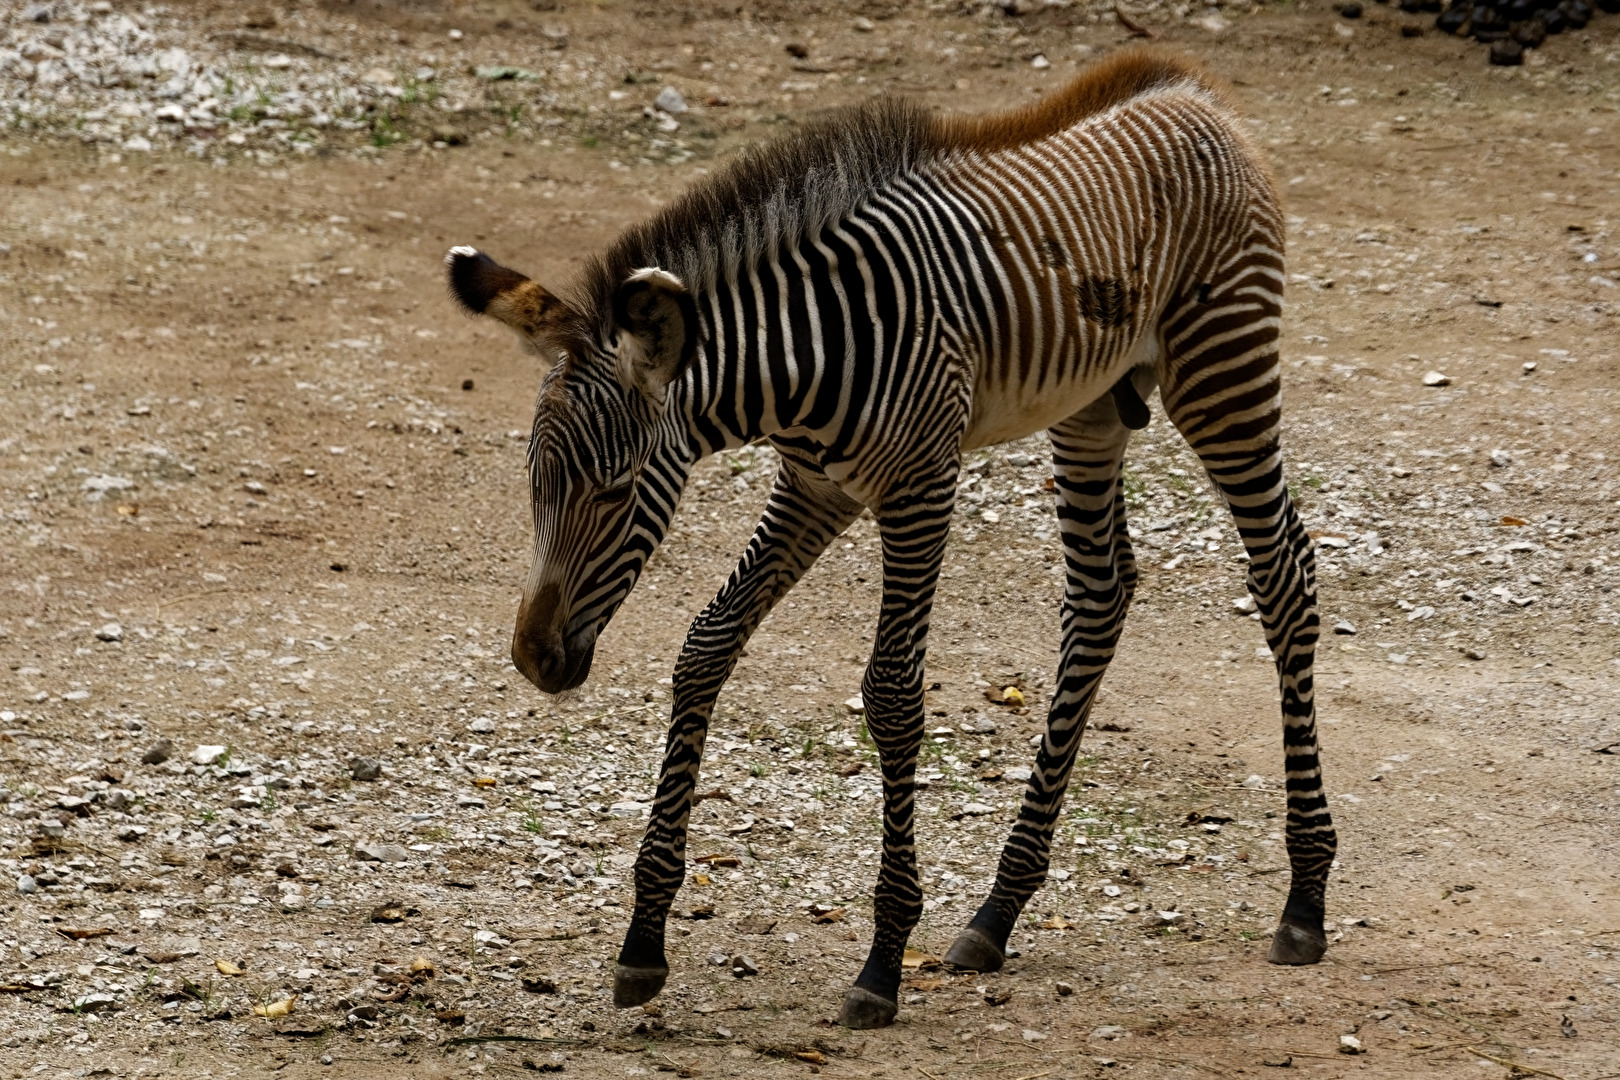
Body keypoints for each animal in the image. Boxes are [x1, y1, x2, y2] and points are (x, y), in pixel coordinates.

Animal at [446, 47, 1334, 1030]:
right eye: (533, 487)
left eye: (614, 491)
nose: (533, 659)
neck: (799, 360)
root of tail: (1192, 90)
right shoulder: (814, 488)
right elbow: (706, 647)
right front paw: (644, 940)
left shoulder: (918, 487)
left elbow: (894, 695)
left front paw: (881, 960)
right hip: (1096, 403)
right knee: (1101, 596)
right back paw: (997, 912)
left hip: (1223, 367)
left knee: (1285, 575)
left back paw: (1305, 898)